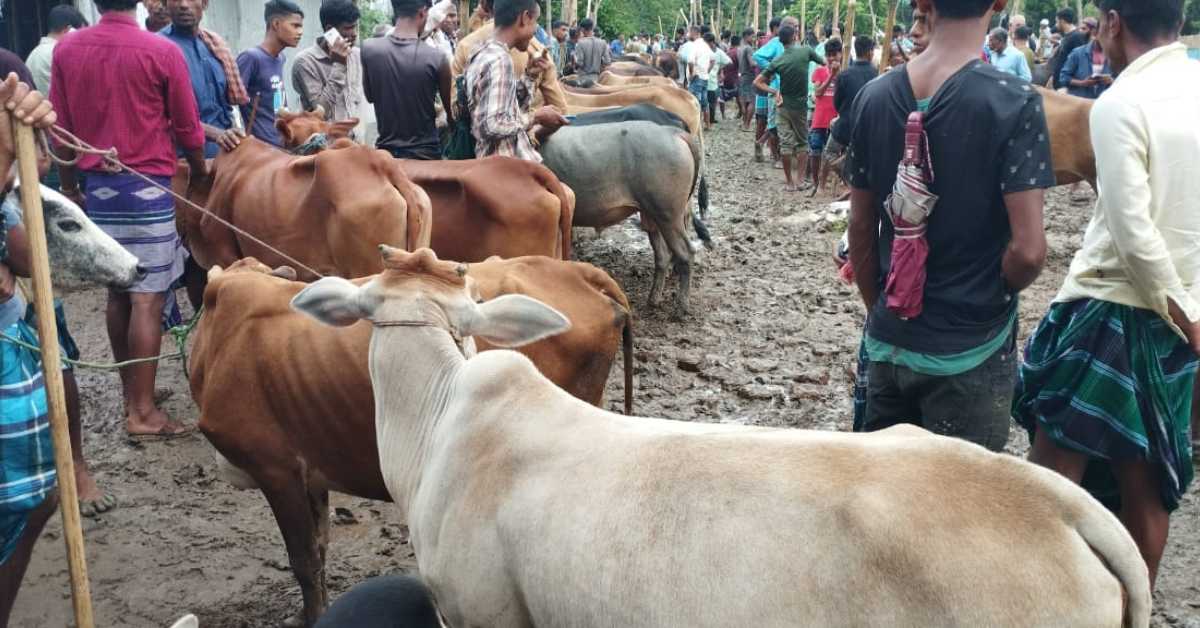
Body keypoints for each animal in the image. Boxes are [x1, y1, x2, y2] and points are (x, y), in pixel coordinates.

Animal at [540, 122, 700, 317]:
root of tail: (671, 131)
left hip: (667, 213)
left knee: (686, 253)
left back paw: (681, 307)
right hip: (652, 214)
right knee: (662, 256)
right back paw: (653, 299)